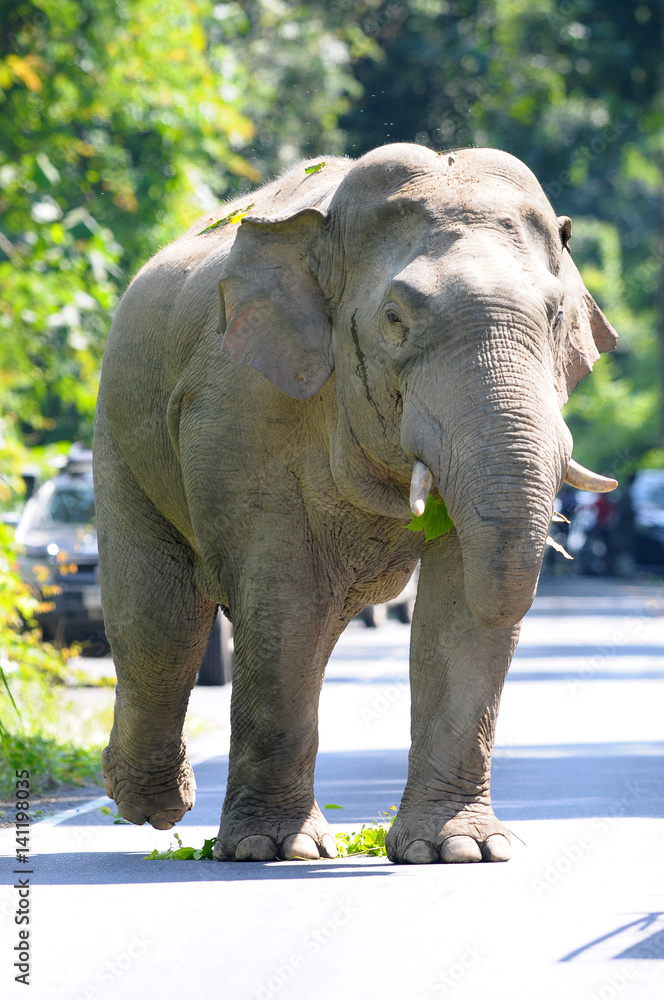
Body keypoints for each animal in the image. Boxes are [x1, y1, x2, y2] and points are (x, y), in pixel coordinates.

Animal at [93, 142, 618, 864]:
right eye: (395, 320)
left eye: (555, 317)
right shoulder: (240, 402)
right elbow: (281, 597)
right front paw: (272, 850)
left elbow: (454, 605)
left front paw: (463, 851)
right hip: (120, 434)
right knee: (161, 621)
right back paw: (153, 807)